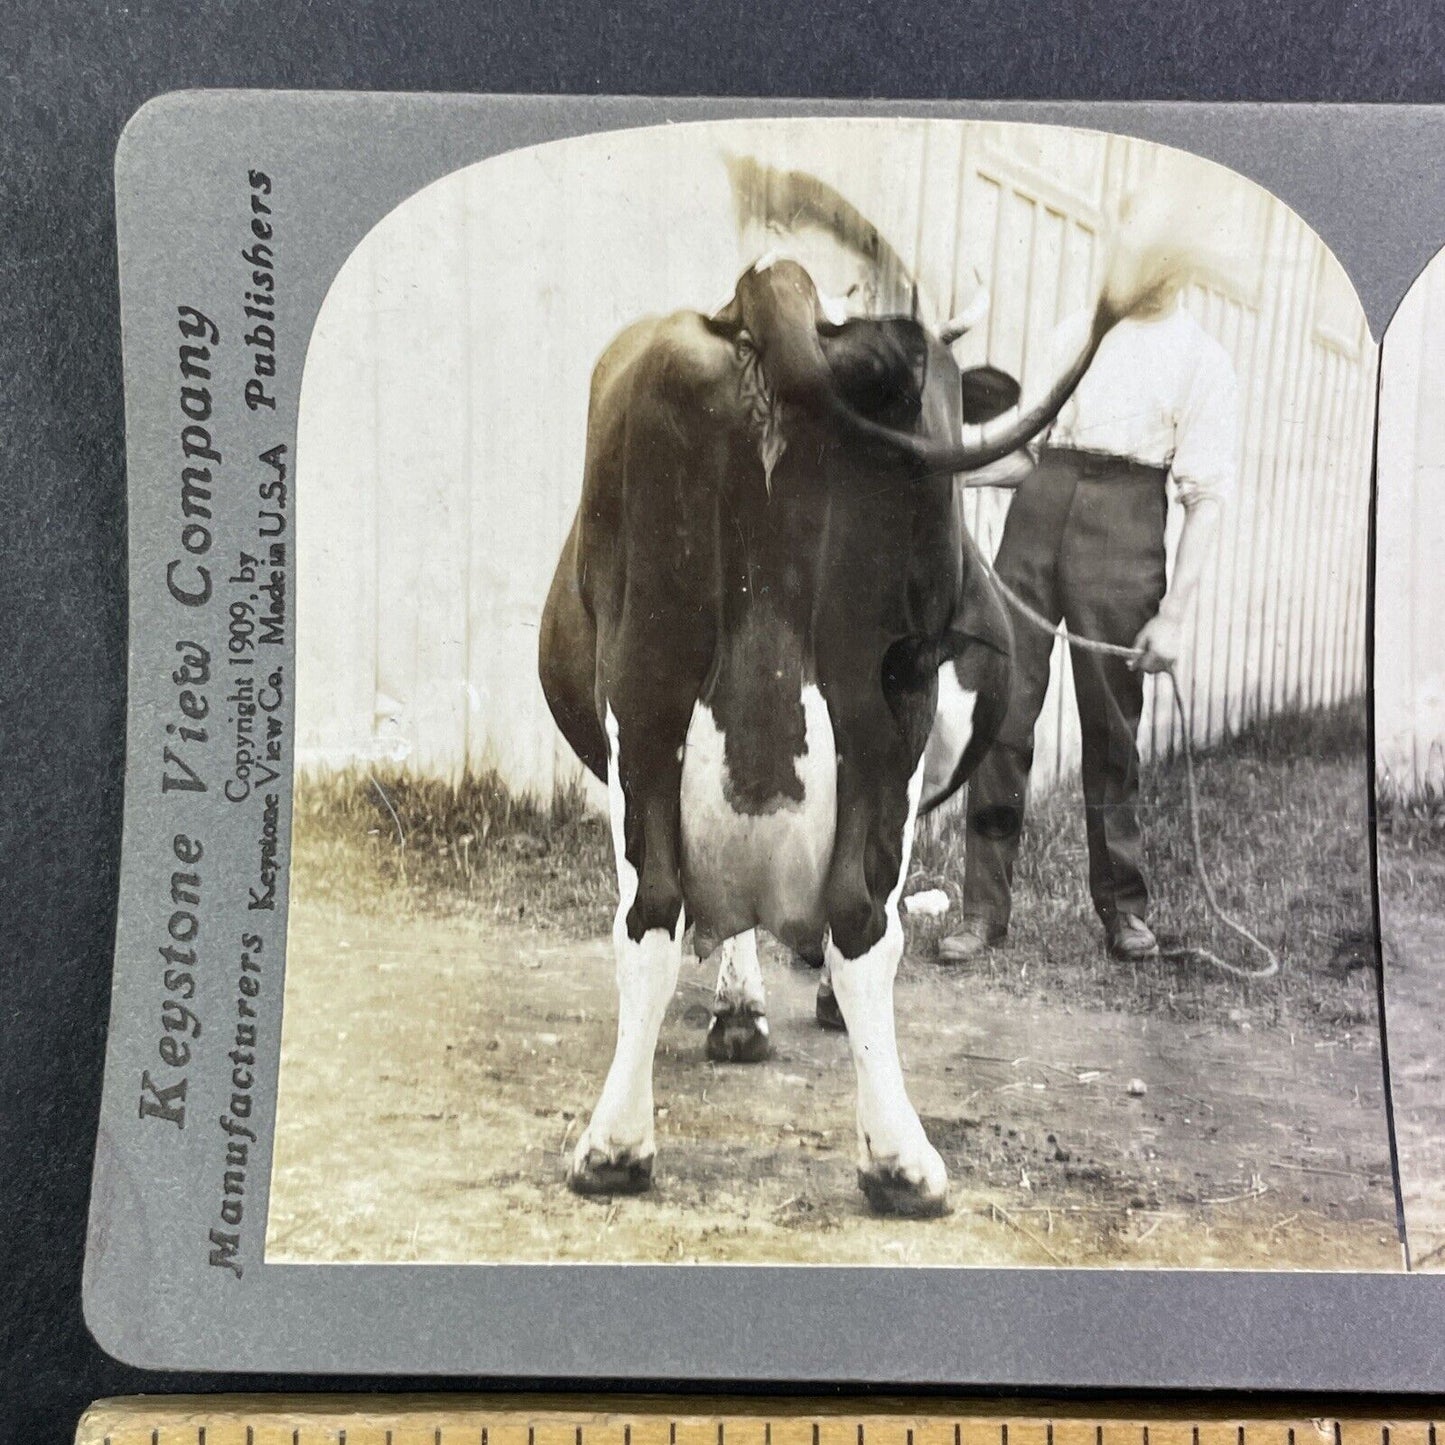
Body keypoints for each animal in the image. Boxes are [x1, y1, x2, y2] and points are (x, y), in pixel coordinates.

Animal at [540, 254, 1127, 1213]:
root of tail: (771, 292)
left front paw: (743, 1010)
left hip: (660, 686)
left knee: (661, 910)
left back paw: (622, 1145)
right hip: (882, 693)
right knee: (849, 917)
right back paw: (890, 1155)